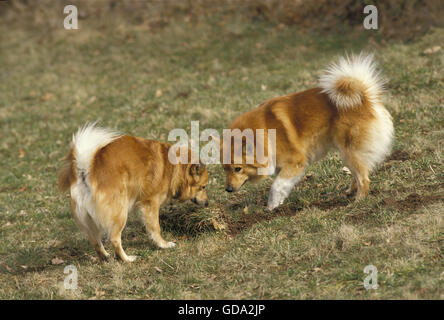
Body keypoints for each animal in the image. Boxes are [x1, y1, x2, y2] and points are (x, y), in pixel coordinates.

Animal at [58, 124, 209, 262]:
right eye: (203, 187)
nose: (207, 203)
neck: (172, 166)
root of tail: (85, 169)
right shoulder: (150, 203)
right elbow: (155, 228)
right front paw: (163, 245)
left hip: (89, 220)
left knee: (95, 240)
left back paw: (105, 257)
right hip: (120, 212)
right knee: (114, 239)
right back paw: (127, 259)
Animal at [221, 54, 392, 210]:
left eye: (238, 168)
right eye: (225, 169)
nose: (227, 190)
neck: (265, 131)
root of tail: (366, 98)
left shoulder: (296, 161)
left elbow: (276, 186)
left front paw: (270, 209)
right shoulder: (282, 166)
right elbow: (281, 185)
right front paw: (277, 204)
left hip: (350, 151)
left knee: (364, 179)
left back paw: (358, 201)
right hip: (348, 152)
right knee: (359, 174)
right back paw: (350, 192)